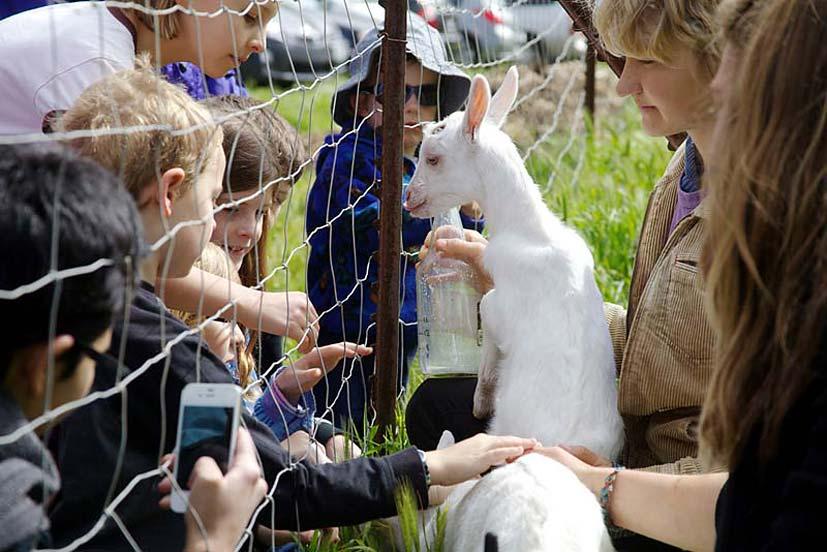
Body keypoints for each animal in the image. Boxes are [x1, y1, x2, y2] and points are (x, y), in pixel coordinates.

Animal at [404, 67, 624, 460]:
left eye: (432, 158)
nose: (409, 198)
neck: (530, 231)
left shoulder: (494, 308)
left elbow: (488, 356)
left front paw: (479, 402)